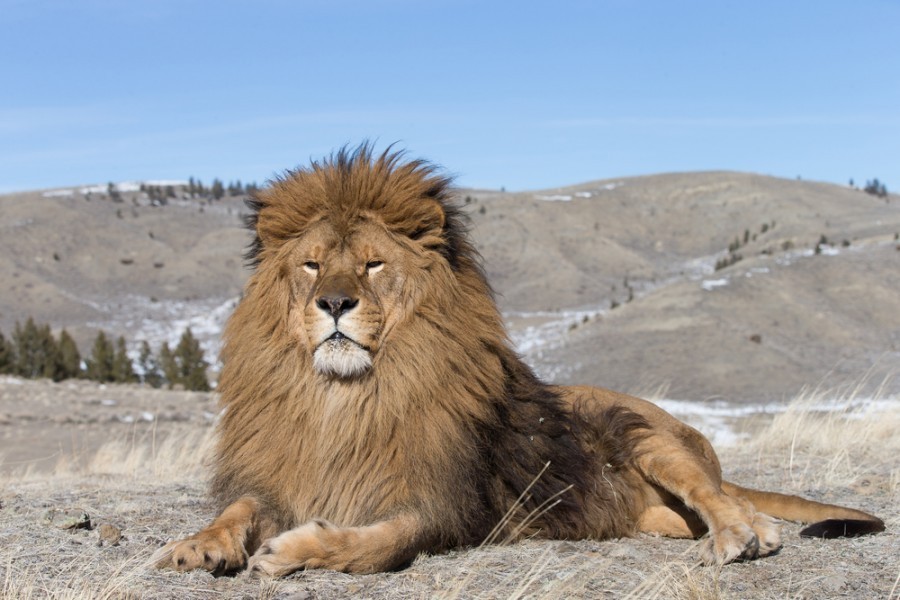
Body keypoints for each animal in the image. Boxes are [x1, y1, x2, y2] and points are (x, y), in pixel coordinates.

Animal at [153, 144, 880, 576]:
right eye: (310, 265)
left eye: (372, 264)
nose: (334, 302)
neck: (344, 396)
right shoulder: (284, 475)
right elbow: (239, 509)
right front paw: (198, 544)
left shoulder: (441, 506)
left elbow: (370, 544)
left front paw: (290, 551)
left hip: (649, 436)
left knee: (727, 500)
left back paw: (740, 537)